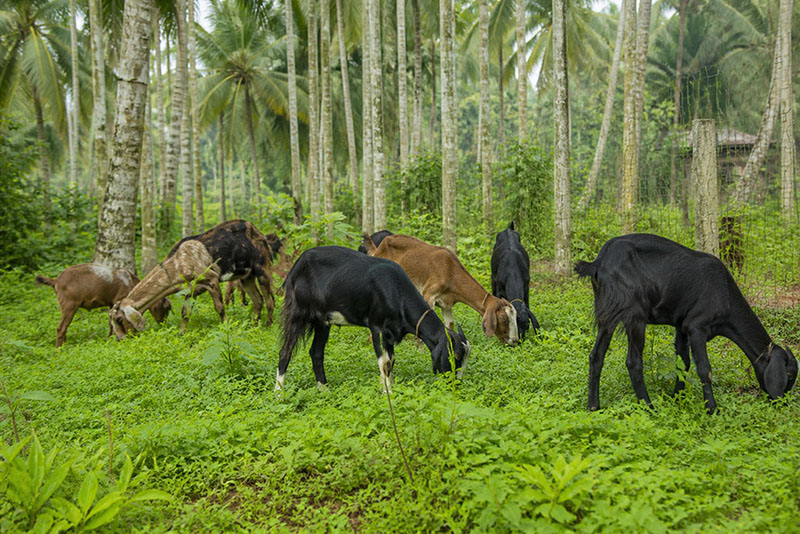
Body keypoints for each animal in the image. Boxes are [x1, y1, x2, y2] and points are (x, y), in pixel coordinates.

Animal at [36, 264, 171, 347]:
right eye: (165, 308)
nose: (163, 325)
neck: (130, 281)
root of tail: (56, 280)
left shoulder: (111, 304)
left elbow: (111, 323)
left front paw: (110, 339)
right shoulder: (118, 300)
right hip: (69, 305)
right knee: (61, 327)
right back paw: (60, 349)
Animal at [110, 220, 273, 339]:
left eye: (119, 319)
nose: (120, 339)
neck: (177, 263)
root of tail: (258, 231)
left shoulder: (211, 279)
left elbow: (219, 308)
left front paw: (226, 329)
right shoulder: (190, 289)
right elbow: (185, 312)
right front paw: (182, 335)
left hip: (262, 267)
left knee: (269, 299)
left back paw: (268, 325)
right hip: (247, 276)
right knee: (258, 300)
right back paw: (255, 326)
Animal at [276, 246, 471, 391]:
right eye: (455, 355)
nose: (457, 384)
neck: (395, 292)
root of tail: (296, 266)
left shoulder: (391, 332)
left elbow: (392, 360)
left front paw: (390, 387)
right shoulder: (377, 327)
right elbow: (384, 362)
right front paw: (387, 392)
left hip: (323, 321)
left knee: (316, 353)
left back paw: (325, 391)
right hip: (297, 312)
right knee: (285, 351)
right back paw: (279, 394)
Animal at [363, 233, 519, 346]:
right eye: (503, 318)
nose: (515, 341)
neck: (451, 271)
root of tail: (378, 248)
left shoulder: (447, 304)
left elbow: (449, 325)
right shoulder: (428, 295)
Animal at [575, 233, 798, 414]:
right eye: (788, 374)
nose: (783, 402)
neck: (725, 294)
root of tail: (599, 262)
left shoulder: (681, 327)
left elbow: (683, 364)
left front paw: (677, 399)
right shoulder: (696, 327)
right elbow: (704, 369)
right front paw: (712, 409)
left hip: (608, 313)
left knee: (596, 356)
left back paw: (593, 407)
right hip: (635, 314)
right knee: (633, 361)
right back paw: (649, 407)